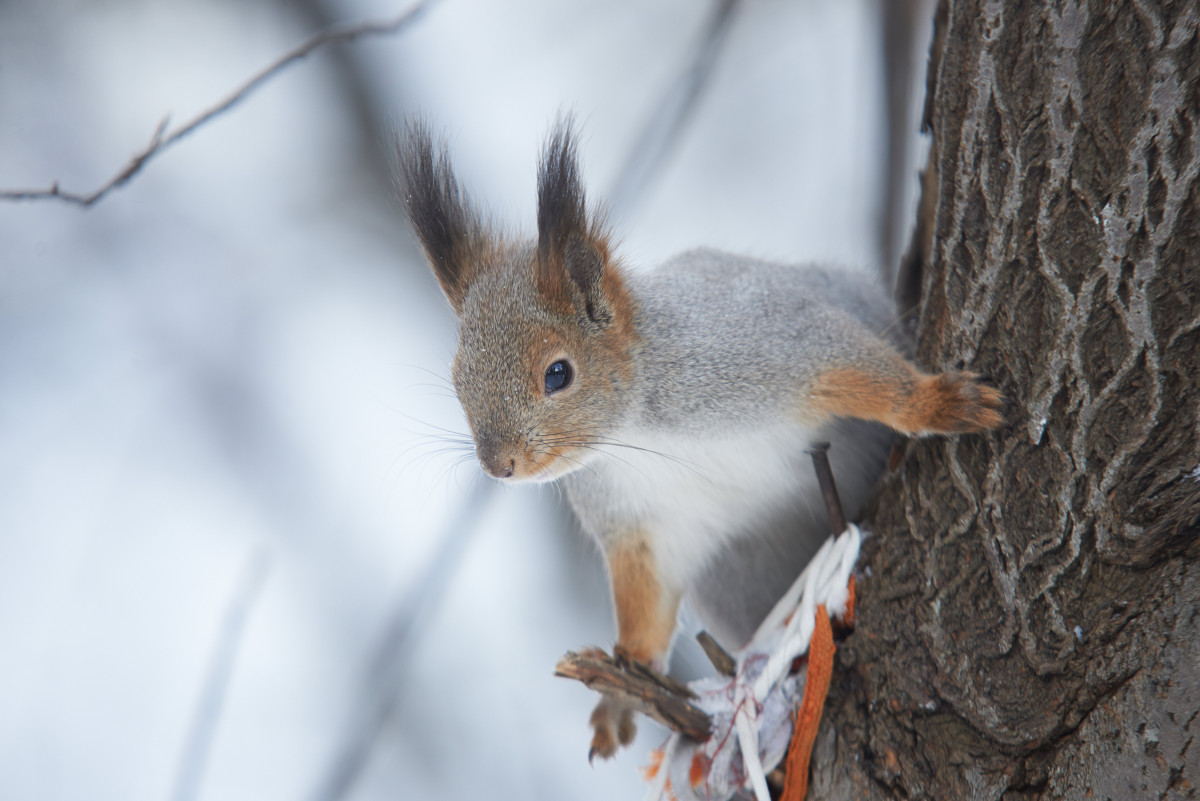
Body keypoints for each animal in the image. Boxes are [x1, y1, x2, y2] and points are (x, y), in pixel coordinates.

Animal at [396, 118, 1003, 757]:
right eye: (458, 380)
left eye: (557, 373)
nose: (498, 465)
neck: (638, 434)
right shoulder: (638, 527)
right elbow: (645, 610)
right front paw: (621, 690)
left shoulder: (763, 350)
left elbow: (853, 366)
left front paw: (940, 402)